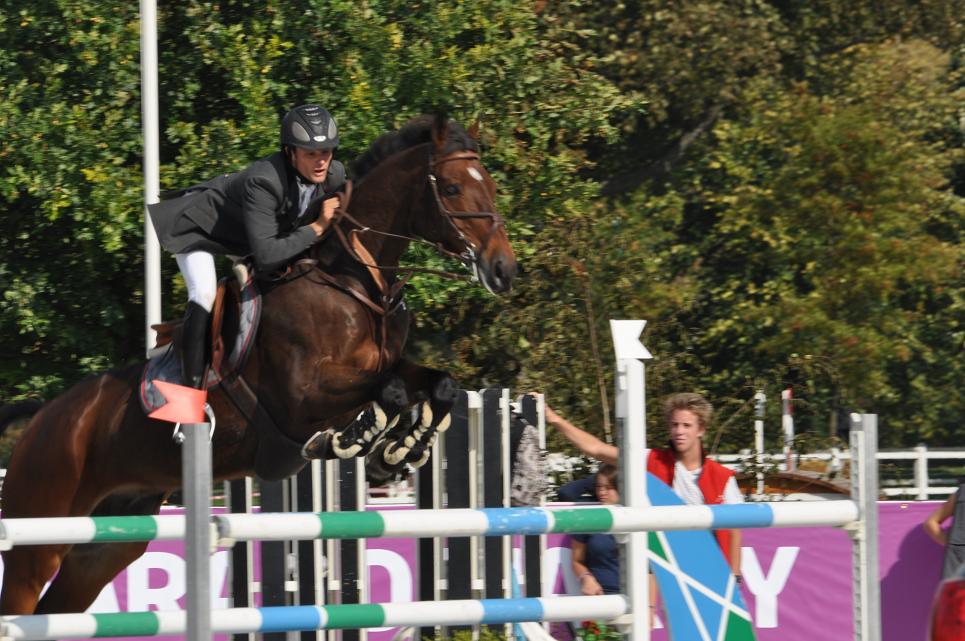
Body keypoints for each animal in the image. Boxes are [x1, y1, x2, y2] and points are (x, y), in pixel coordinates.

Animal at [0, 115, 516, 616]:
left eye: (491, 184)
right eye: (452, 188)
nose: (503, 270)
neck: (351, 280)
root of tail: (44, 417)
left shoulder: (387, 365)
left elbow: (438, 386)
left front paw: (400, 451)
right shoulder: (303, 396)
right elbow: (386, 391)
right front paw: (355, 441)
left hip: (106, 543)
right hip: (38, 532)